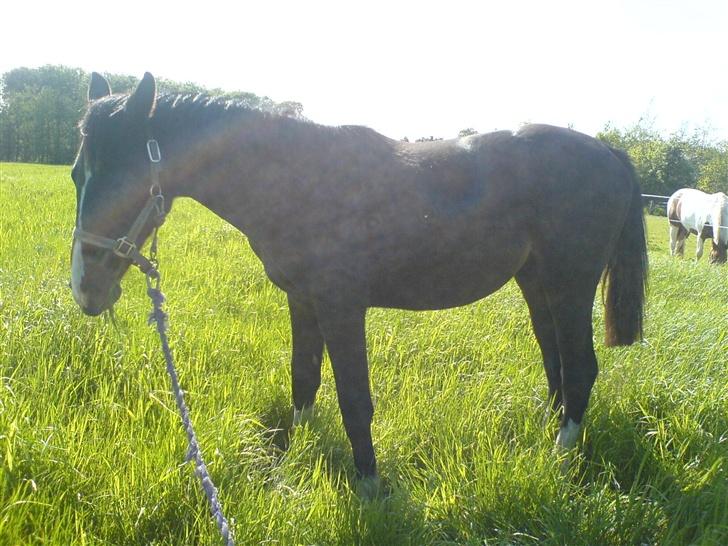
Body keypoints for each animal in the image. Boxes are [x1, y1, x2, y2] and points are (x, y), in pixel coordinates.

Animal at [69, 73, 648, 488]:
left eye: (129, 182)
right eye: (77, 173)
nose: (84, 288)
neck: (302, 180)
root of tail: (609, 153)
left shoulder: (341, 306)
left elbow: (354, 398)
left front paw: (369, 485)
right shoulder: (302, 301)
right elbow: (304, 379)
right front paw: (298, 461)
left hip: (570, 287)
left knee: (580, 368)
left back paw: (560, 461)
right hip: (536, 286)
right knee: (556, 366)